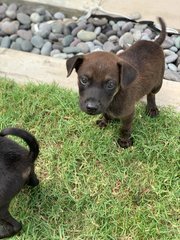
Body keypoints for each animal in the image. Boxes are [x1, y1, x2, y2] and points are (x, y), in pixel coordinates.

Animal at [66, 16, 166, 147]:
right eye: (83, 80)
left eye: (110, 84)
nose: (91, 107)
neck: (115, 97)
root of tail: (154, 43)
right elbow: (106, 113)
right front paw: (104, 121)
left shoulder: (128, 113)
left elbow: (125, 128)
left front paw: (124, 141)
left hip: (158, 83)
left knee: (152, 94)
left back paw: (152, 108)